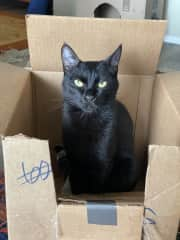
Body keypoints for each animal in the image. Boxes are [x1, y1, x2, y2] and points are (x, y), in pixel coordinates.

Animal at [61, 42, 137, 193]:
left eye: (102, 83)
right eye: (78, 82)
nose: (90, 97)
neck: (87, 122)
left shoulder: (102, 162)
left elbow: (96, 187)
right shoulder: (74, 161)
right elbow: (76, 183)